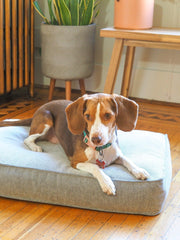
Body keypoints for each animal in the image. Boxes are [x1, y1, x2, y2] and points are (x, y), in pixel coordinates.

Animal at [0, 93, 149, 195]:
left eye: (108, 115)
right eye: (87, 116)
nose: (96, 139)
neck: (100, 149)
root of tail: (40, 108)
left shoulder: (117, 155)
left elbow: (127, 160)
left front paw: (139, 170)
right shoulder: (76, 162)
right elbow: (96, 167)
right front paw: (107, 182)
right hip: (47, 118)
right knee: (27, 139)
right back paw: (35, 146)